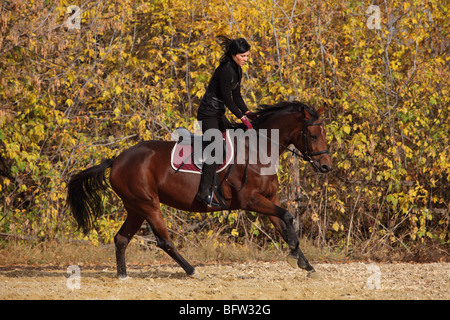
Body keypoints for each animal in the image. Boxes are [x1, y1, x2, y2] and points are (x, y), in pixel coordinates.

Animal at [68, 101, 332, 278]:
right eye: (313, 134)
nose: (326, 166)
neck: (258, 149)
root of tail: (116, 160)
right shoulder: (251, 200)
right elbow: (287, 216)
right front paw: (296, 255)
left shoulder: (269, 198)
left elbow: (284, 225)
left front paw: (305, 264)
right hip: (148, 204)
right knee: (164, 241)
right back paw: (192, 270)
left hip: (135, 207)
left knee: (122, 238)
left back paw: (123, 275)